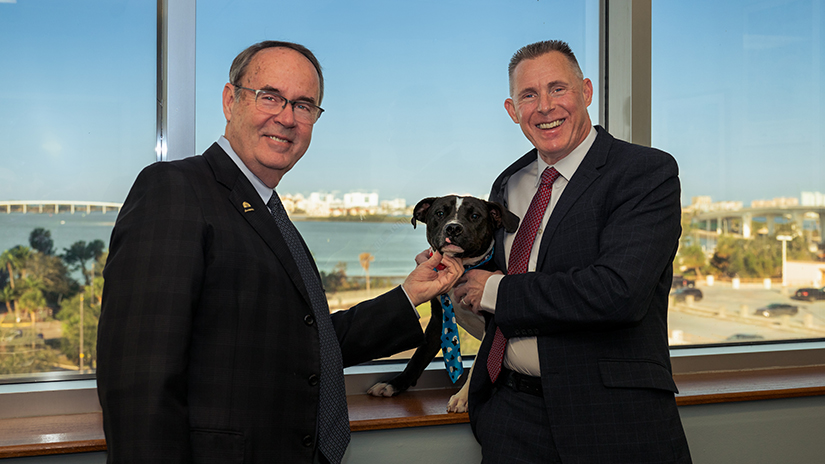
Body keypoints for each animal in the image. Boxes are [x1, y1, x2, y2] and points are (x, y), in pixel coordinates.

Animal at [366, 196, 516, 414]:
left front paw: (463, 397)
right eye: (440, 213)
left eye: (475, 215)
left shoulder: (491, 326)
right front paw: (393, 384)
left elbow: (479, 363)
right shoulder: (439, 320)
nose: (453, 228)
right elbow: (418, 357)